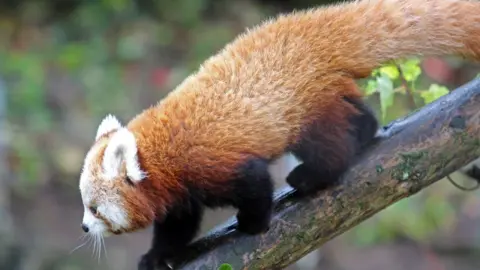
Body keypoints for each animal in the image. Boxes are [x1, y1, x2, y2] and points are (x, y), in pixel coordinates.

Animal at [77, 1, 480, 268]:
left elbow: (255, 184)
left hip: (305, 106)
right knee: (358, 117)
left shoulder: (212, 162)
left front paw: (253, 224)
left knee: (329, 146)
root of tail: (312, 26)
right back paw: (365, 132)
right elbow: (178, 225)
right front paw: (157, 256)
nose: (82, 227)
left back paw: (310, 177)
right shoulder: (180, 192)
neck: (163, 155)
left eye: (94, 209)